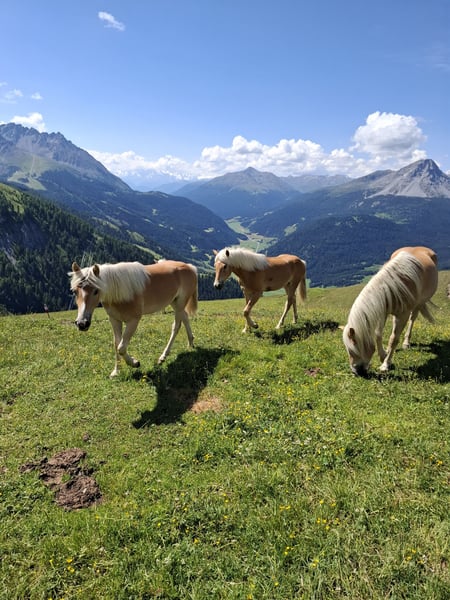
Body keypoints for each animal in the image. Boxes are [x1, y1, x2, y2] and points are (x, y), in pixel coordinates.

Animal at [70, 260, 198, 377]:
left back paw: (163, 356)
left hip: (180, 303)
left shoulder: (133, 321)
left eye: (96, 291)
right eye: (75, 291)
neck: (119, 292)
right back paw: (190, 343)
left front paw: (135, 363)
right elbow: (116, 344)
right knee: (185, 317)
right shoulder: (114, 320)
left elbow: (121, 347)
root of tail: (190, 267)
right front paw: (116, 371)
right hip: (174, 302)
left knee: (176, 326)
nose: (82, 323)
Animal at [342, 246, 438, 377]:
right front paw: (383, 355)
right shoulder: (383, 312)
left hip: (417, 305)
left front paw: (386, 364)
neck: (392, 287)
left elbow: (393, 339)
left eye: (353, 349)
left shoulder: (402, 316)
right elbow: (378, 334)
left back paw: (406, 342)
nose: (356, 372)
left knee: (412, 319)